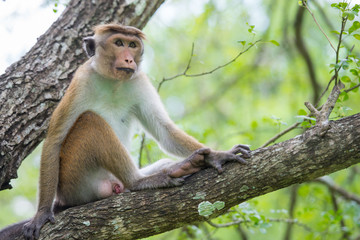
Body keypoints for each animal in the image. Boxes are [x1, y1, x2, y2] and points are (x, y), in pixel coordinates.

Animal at [0, 23, 250, 240]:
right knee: (90, 121)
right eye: (118, 43)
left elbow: (164, 131)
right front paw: (41, 213)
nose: (129, 58)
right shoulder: (81, 80)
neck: (113, 81)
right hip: (76, 181)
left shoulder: (139, 80)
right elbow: (54, 140)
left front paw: (217, 155)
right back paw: (140, 182)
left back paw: (183, 166)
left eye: (133, 45)